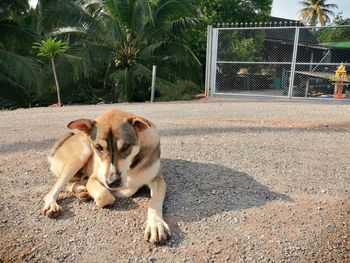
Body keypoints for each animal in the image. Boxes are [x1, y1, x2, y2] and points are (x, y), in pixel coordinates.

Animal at [41, 108, 170, 244]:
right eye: (99, 147)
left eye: (126, 146)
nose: (113, 182)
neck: (131, 166)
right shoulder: (94, 179)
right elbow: (104, 195)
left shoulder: (158, 180)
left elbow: (154, 201)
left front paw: (156, 225)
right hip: (83, 151)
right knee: (55, 189)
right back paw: (53, 203)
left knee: (72, 183)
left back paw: (81, 191)